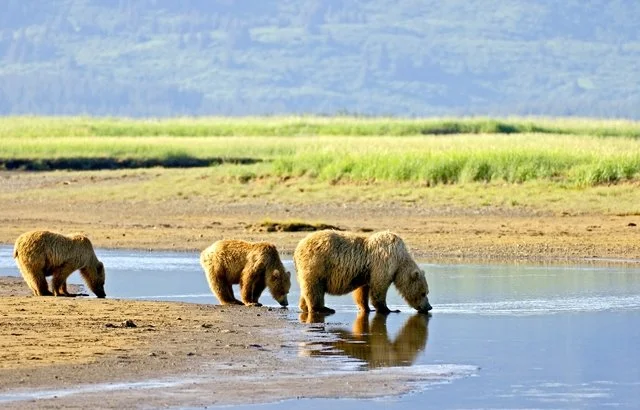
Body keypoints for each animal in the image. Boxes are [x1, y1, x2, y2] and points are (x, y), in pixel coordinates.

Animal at [294, 230, 432, 315]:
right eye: (423, 293)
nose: (429, 307)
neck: (399, 260)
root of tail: (298, 247)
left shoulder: (366, 272)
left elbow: (362, 291)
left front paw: (366, 308)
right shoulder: (383, 263)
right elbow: (379, 287)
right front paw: (389, 309)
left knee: (307, 289)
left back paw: (304, 306)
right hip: (317, 263)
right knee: (314, 288)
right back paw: (324, 309)